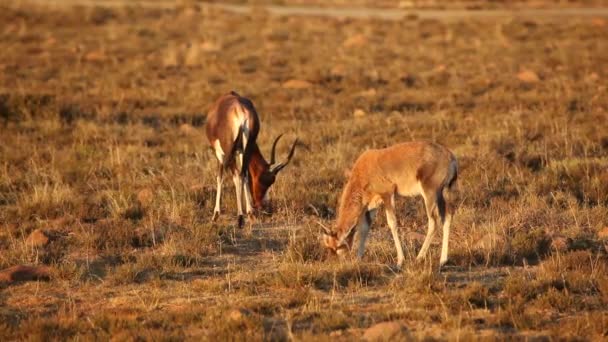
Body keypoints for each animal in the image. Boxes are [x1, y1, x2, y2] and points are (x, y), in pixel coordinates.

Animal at [205, 91, 298, 227]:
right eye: (264, 181)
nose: (260, 205)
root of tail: (240, 111)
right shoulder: (240, 152)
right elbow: (245, 176)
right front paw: (250, 213)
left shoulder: (220, 154)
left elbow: (220, 177)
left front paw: (215, 215)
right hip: (246, 147)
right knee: (243, 174)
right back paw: (249, 214)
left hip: (229, 152)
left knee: (237, 175)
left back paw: (240, 218)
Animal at [320, 141, 458, 268]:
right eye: (329, 246)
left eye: (337, 246)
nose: (335, 263)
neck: (366, 166)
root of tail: (450, 157)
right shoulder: (372, 205)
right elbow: (364, 228)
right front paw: (359, 258)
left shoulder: (387, 195)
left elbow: (392, 224)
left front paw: (400, 261)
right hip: (443, 194)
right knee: (447, 218)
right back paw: (443, 260)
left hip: (430, 195)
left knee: (434, 222)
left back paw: (419, 258)